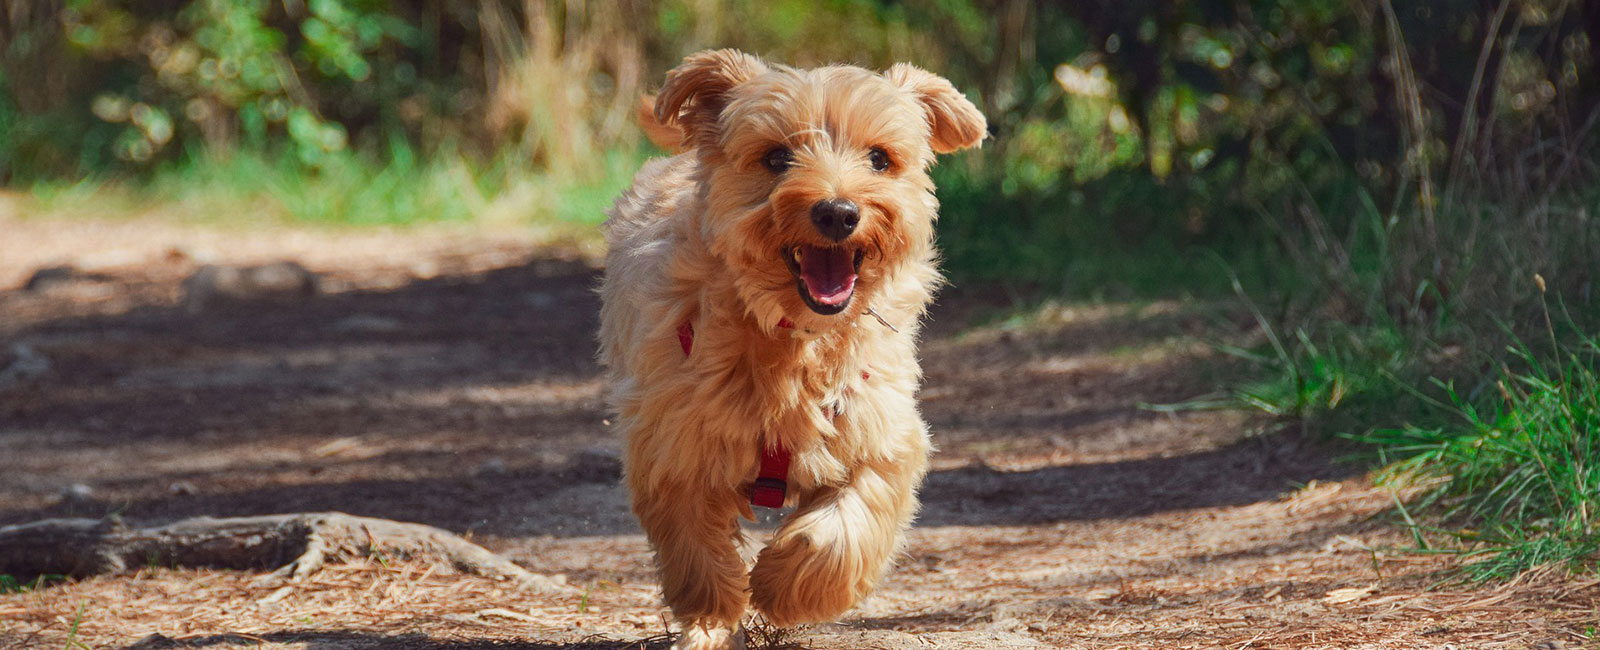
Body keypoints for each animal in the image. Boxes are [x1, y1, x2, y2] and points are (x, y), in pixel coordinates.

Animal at [595, 50, 979, 650]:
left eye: (880, 158)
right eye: (777, 157)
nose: (839, 212)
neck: (794, 340)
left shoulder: (881, 434)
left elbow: (843, 530)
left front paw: (783, 587)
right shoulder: (674, 445)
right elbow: (696, 550)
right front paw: (711, 620)